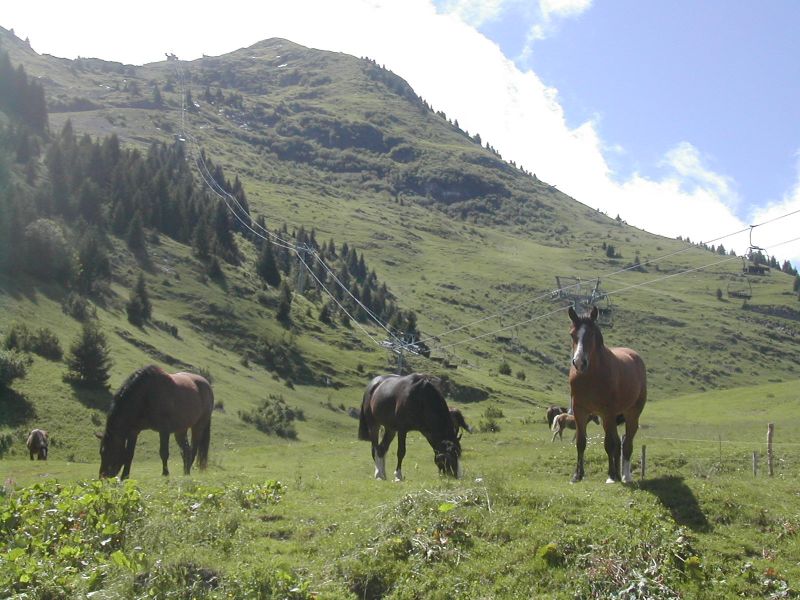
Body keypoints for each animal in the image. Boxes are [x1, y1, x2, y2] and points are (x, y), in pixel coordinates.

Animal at [564, 308, 648, 486]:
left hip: (631, 413)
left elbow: (609, 444)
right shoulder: (579, 411)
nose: (579, 362)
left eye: (591, 334)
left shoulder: (607, 411)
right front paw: (577, 476)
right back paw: (618, 474)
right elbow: (581, 442)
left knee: (626, 443)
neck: (590, 376)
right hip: (608, 419)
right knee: (618, 442)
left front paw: (611, 476)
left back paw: (625, 476)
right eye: (572, 334)